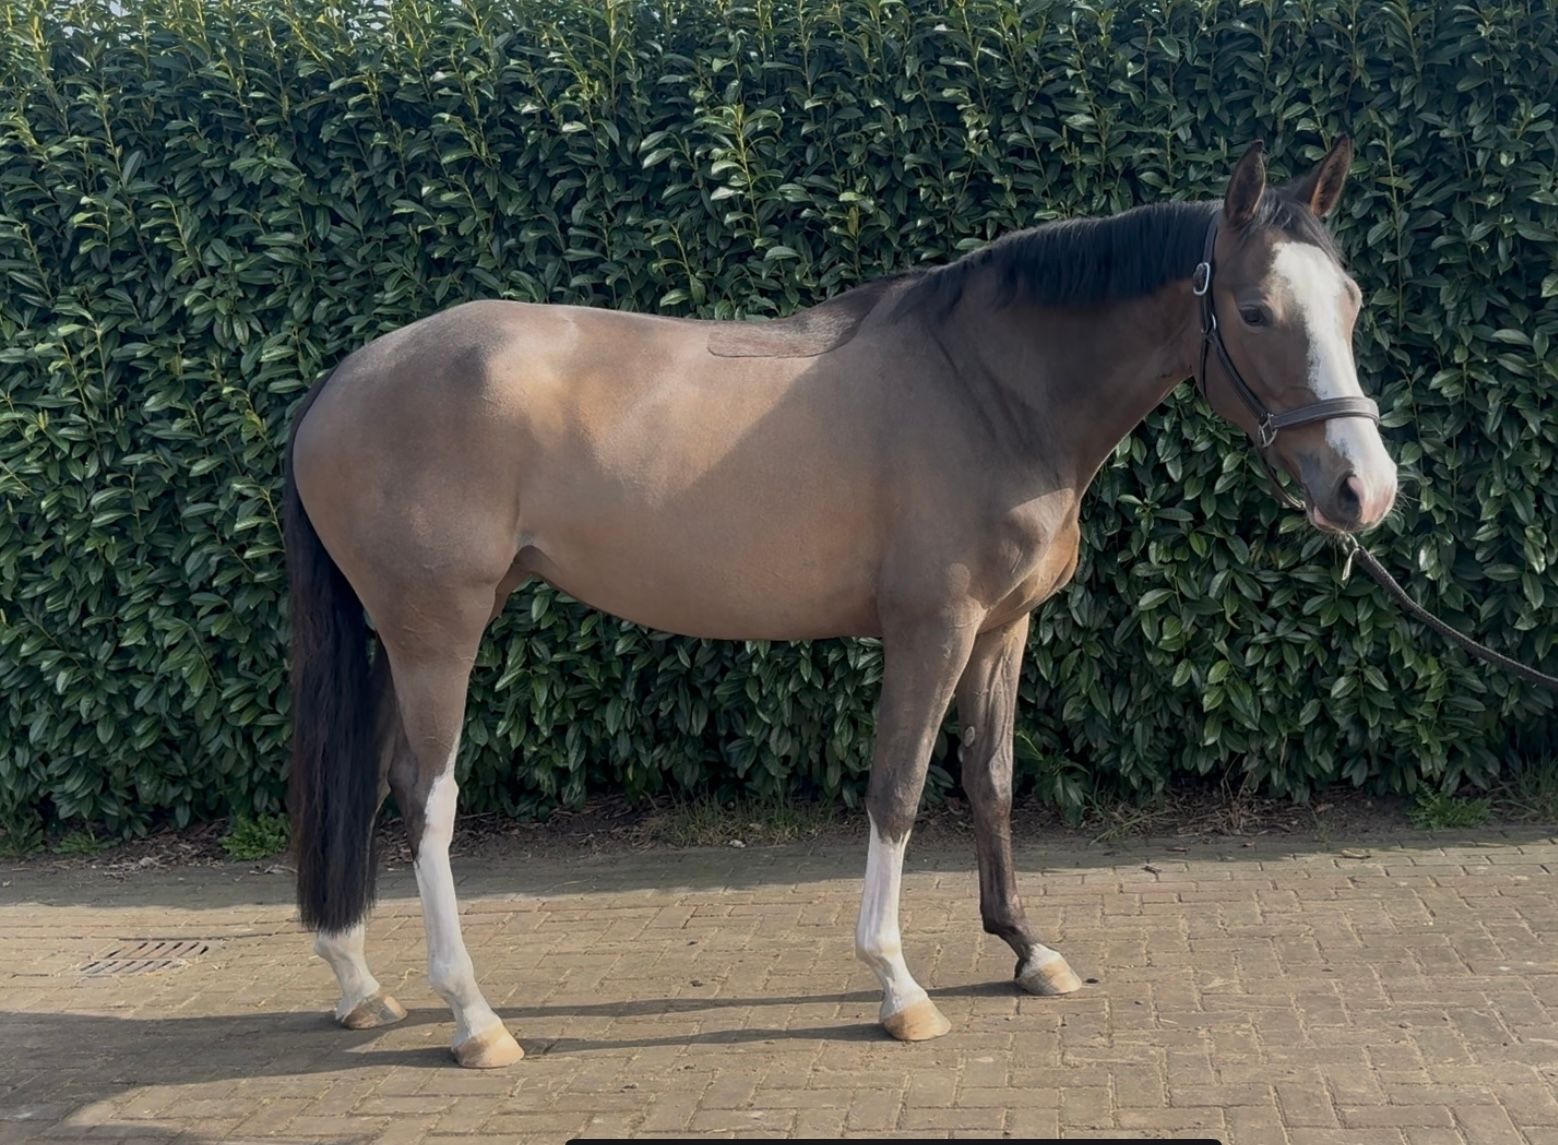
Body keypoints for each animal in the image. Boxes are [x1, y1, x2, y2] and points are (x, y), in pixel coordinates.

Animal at [283, 138, 1397, 1067]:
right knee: (426, 797)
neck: (988, 388)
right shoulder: (932, 628)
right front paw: (898, 984)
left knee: (370, 780)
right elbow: (897, 790)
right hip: (439, 629)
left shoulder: (1002, 629)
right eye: (1254, 309)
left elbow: (990, 779)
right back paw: (473, 1016)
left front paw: (1027, 949)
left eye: (1348, 300)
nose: (1365, 489)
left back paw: (360, 984)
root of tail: (344, 377)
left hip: (401, 635)